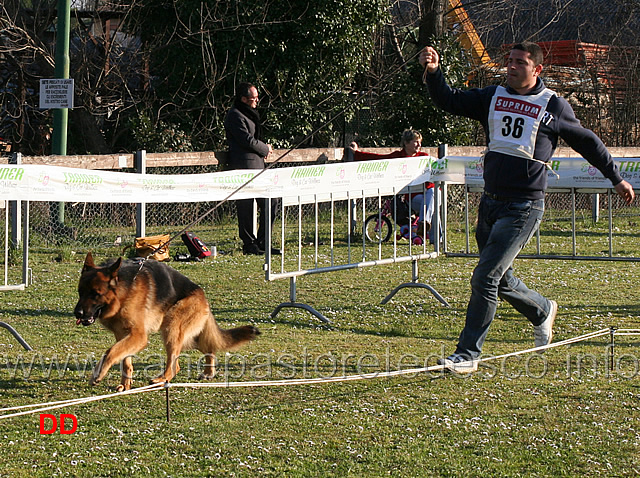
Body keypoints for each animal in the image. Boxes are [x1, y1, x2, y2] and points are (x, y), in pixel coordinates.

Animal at [75, 252, 262, 390]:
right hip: (186, 335)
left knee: (175, 365)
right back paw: (208, 372)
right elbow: (124, 359)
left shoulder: (138, 336)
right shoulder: (122, 335)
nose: (77, 313)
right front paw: (125, 384)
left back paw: (162, 379)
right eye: (80, 292)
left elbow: (111, 352)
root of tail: (203, 296)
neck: (123, 292)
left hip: (171, 328)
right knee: (209, 347)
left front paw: (98, 374)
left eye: (95, 294)